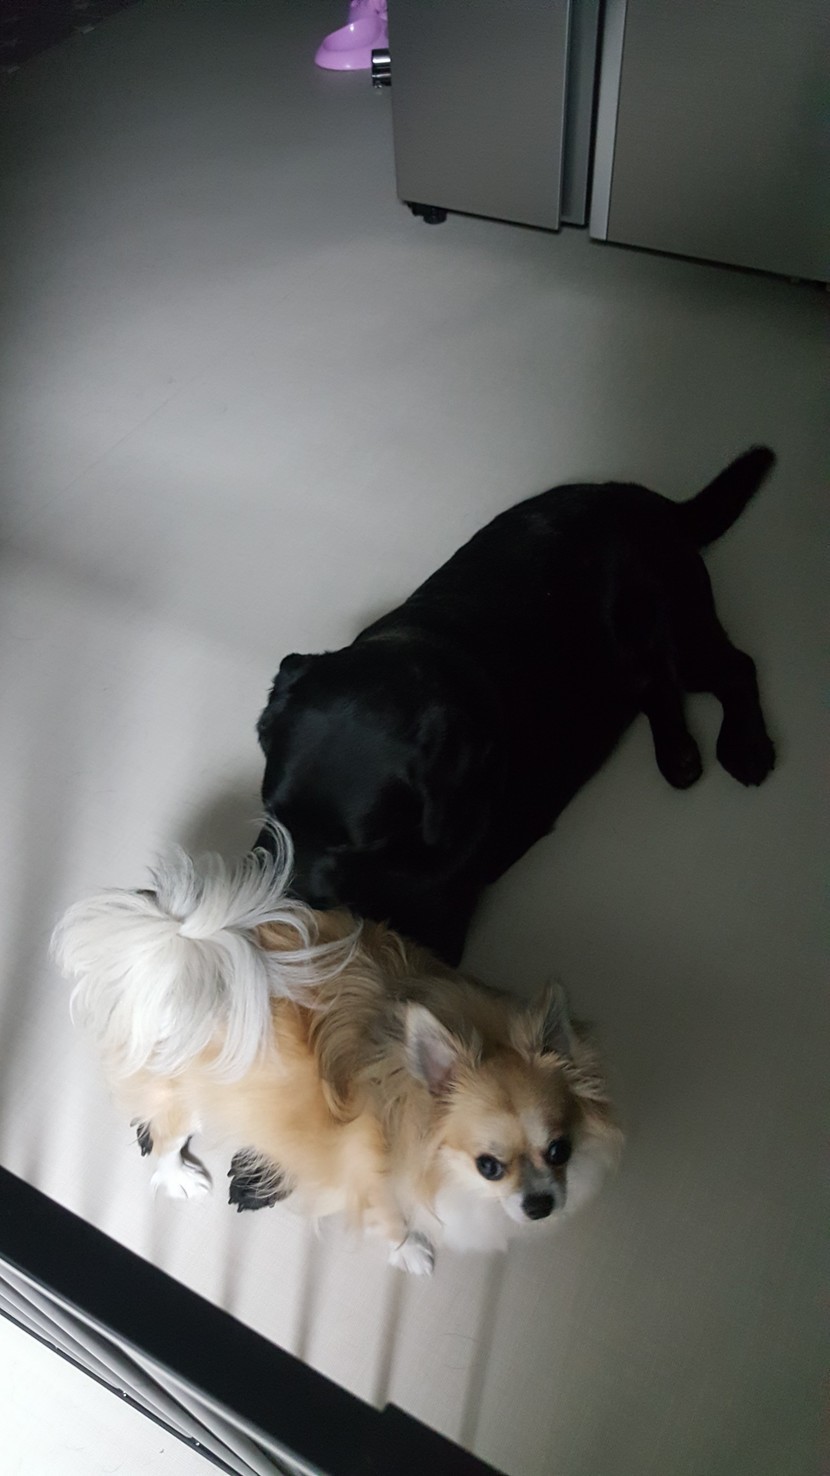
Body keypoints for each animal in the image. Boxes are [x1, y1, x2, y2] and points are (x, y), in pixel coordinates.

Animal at [52, 828, 618, 1273]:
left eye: (560, 1151)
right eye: (489, 1167)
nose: (541, 1203)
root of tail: (174, 948)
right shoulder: (374, 1181)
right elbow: (393, 1224)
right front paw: (411, 1253)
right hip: (183, 1098)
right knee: (166, 1140)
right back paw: (178, 1178)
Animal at [256, 447, 776, 964]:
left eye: (357, 845)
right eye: (274, 813)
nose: (285, 901)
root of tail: (648, 500)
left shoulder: (434, 925)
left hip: (682, 630)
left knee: (737, 667)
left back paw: (747, 747)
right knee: (654, 684)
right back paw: (678, 753)